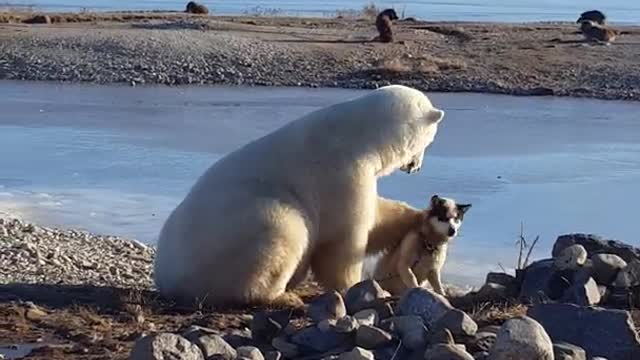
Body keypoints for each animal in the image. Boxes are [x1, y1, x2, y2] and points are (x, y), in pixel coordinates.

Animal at [155, 84, 444, 306]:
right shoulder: (342, 172)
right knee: (284, 229)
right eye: (430, 140)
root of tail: (166, 278)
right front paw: (355, 285)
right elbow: (343, 238)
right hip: (233, 233)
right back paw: (281, 297)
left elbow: (377, 215)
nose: (417, 167)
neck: (359, 134)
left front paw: (420, 216)